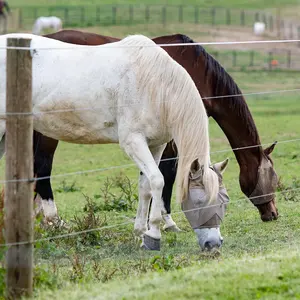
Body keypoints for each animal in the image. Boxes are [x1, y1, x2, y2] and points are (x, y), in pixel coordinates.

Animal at [0, 32, 223, 250]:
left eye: (222, 202)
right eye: (200, 202)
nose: (214, 244)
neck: (154, 84)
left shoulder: (156, 145)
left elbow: (146, 186)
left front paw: (140, 233)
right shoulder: (133, 142)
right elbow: (158, 181)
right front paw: (153, 234)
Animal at [31, 29, 278, 225]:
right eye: (273, 179)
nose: (273, 213)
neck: (194, 71)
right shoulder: (171, 138)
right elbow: (167, 174)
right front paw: (165, 219)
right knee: (43, 168)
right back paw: (53, 220)